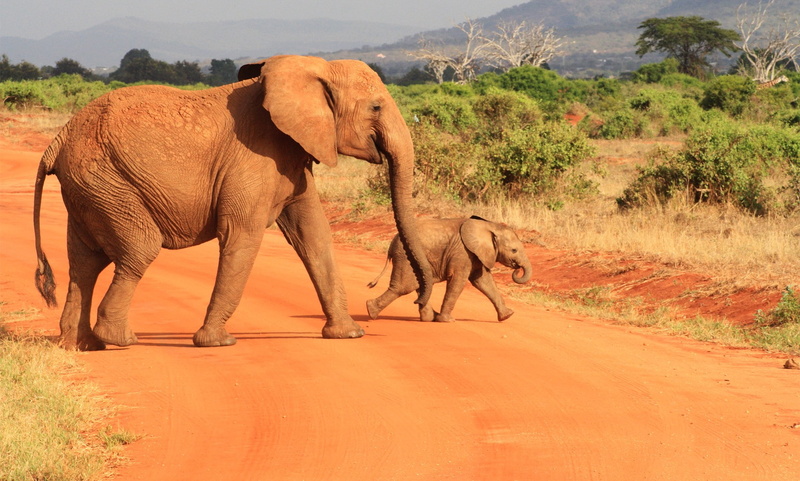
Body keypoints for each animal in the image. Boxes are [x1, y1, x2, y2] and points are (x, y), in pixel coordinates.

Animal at [33, 54, 433, 350]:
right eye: (376, 107)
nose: (422, 309)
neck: (313, 68)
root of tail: (58, 140)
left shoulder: (291, 155)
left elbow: (314, 236)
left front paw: (348, 335)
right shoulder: (255, 156)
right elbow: (242, 235)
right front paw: (218, 343)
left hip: (91, 189)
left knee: (85, 261)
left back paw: (81, 345)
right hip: (108, 181)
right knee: (139, 248)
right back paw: (119, 339)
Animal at [366, 216, 532, 323]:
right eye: (514, 250)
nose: (517, 269)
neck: (489, 226)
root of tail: (391, 244)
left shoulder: (475, 254)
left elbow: (483, 281)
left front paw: (508, 315)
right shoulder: (462, 253)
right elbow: (459, 280)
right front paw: (447, 320)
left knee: (419, 284)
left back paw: (429, 318)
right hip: (405, 258)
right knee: (402, 287)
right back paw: (371, 311)